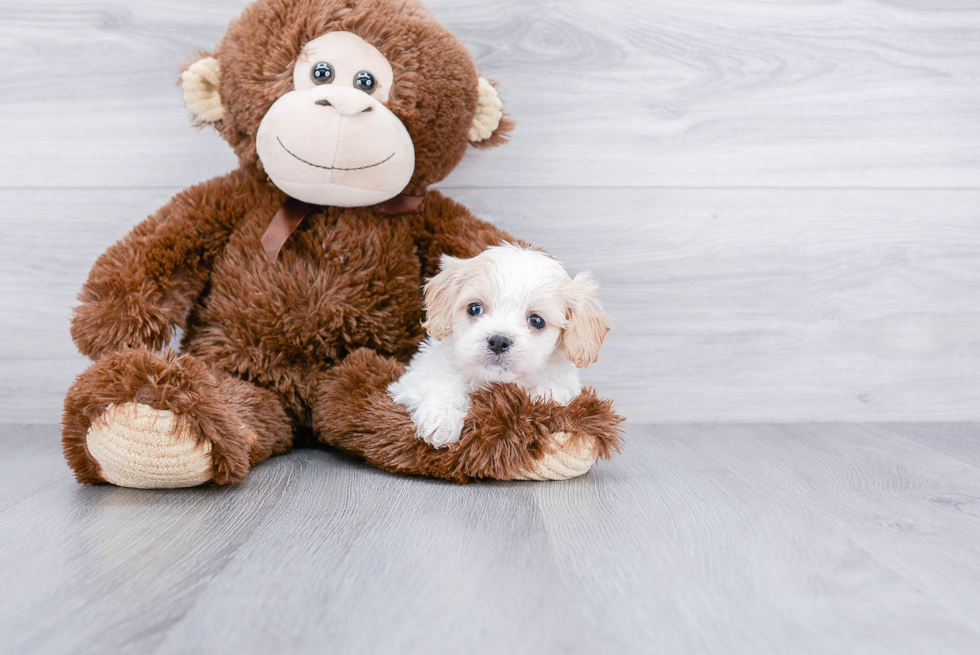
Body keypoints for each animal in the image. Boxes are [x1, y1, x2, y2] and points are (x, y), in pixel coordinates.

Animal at [386, 243, 608, 448]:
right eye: (474, 308)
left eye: (537, 321)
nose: (499, 341)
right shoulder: (414, 377)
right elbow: (444, 383)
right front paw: (441, 422)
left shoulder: (567, 385)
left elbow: (553, 392)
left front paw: (539, 402)